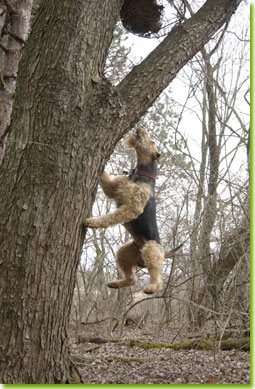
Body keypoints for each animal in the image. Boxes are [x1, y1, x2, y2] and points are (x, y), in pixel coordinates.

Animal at [85, 127, 181, 294]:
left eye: (152, 141)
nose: (140, 128)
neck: (141, 175)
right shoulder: (114, 188)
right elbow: (107, 181)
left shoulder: (133, 207)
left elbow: (112, 217)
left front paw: (94, 222)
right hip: (123, 254)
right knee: (131, 279)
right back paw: (115, 284)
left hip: (151, 250)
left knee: (157, 277)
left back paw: (151, 288)